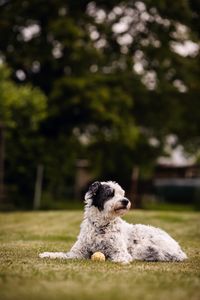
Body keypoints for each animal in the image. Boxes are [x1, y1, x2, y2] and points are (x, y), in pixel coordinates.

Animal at [39, 180, 188, 262]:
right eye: (110, 194)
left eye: (122, 194)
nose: (126, 201)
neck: (101, 227)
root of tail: (178, 248)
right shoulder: (76, 253)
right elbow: (61, 254)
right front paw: (47, 254)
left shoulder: (120, 252)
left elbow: (118, 257)